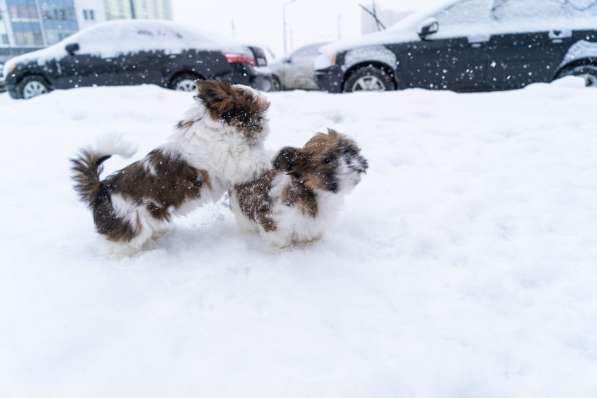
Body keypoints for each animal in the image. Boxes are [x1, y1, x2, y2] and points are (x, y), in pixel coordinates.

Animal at [232, 131, 368, 247]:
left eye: (351, 152)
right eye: (327, 160)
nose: (353, 162)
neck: (316, 195)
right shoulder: (274, 222)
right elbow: (281, 242)